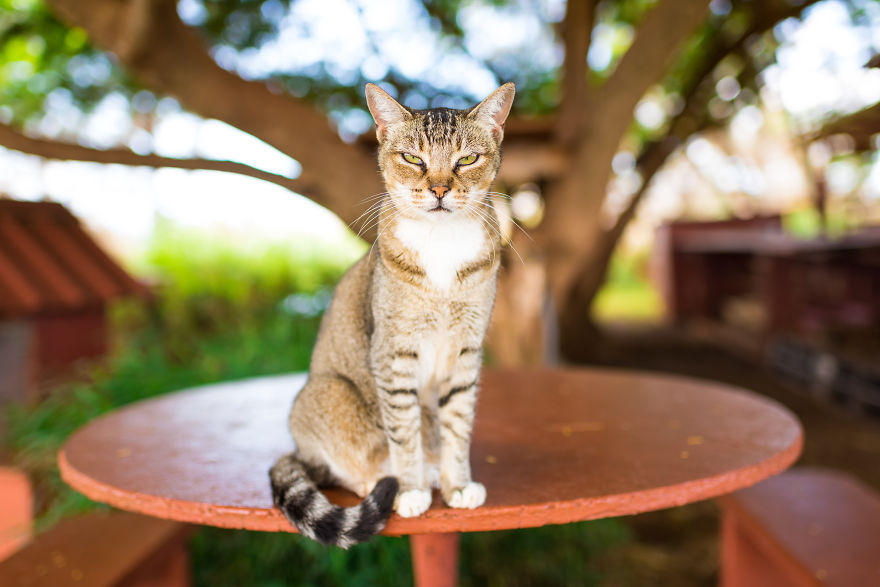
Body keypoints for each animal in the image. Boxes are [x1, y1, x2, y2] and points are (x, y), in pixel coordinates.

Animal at [270, 80, 516, 548]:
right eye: (413, 159)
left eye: (467, 159)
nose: (439, 189)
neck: (441, 242)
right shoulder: (393, 353)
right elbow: (403, 432)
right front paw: (410, 487)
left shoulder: (466, 351)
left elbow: (458, 424)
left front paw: (457, 483)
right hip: (328, 393)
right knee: (347, 470)